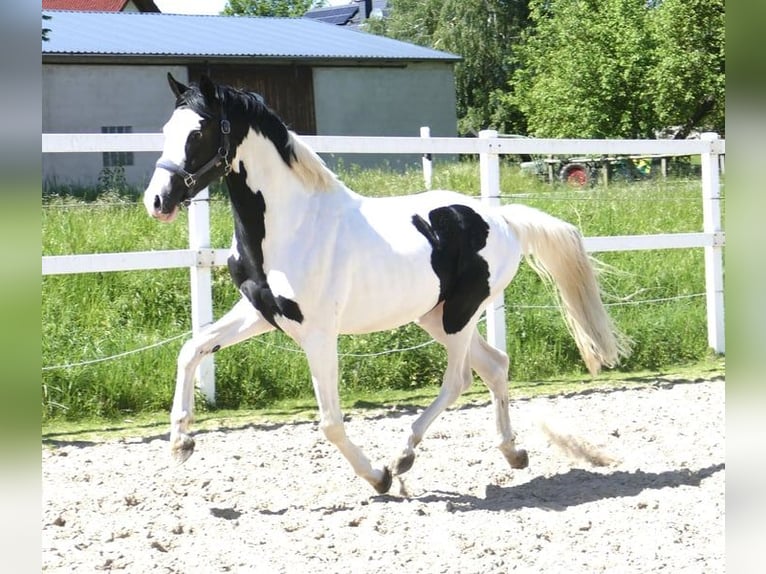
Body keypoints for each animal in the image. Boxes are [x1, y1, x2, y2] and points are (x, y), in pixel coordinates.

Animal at [142, 72, 632, 496]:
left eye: (199, 132)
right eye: (166, 129)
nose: (158, 201)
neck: (292, 225)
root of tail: (503, 219)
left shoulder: (318, 333)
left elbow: (329, 421)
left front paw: (377, 476)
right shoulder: (261, 314)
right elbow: (192, 349)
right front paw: (180, 443)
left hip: (459, 315)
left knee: (459, 379)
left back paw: (402, 457)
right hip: (435, 316)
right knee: (495, 365)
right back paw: (513, 454)